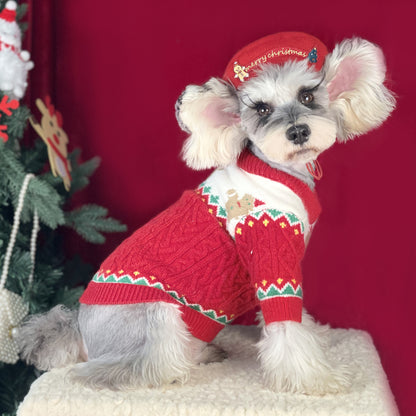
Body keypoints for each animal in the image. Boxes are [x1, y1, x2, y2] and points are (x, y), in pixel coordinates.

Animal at [19, 31, 394, 394]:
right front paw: (316, 380)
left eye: (307, 96)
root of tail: (79, 331)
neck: (277, 170)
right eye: (261, 109)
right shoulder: (272, 259)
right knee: (123, 370)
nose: (298, 131)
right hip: (158, 315)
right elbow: (286, 323)